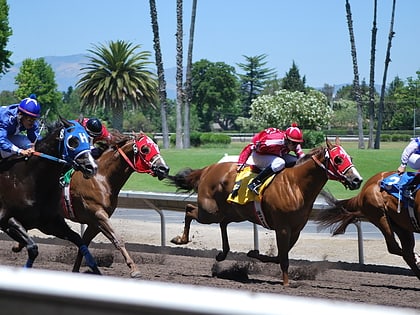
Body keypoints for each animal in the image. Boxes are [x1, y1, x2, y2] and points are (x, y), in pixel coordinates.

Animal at [0, 118, 99, 274]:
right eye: (73, 141)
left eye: (88, 139)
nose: (92, 167)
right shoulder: (6, 219)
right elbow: (33, 248)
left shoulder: (50, 223)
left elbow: (79, 240)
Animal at [65, 132, 170, 278]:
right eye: (145, 149)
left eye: (157, 146)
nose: (164, 169)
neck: (101, 178)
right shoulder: (99, 215)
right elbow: (118, 239)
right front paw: (134, 269)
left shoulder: (95, 222)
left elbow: (84, 243)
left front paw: (75, 270)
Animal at [166, 138, 362, 286]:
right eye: (338, 159)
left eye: (350, 157)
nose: (357, 180)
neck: (296, 185)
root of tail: (208, 168)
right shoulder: (283, 227)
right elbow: (283, 257)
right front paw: (286, 284)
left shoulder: (296, 230)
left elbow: (279, 256)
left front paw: (254, 254)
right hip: (210, 211)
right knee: (190, 210)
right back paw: (180, 239)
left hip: (234, 212)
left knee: (222, 223)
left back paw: (222, 253)